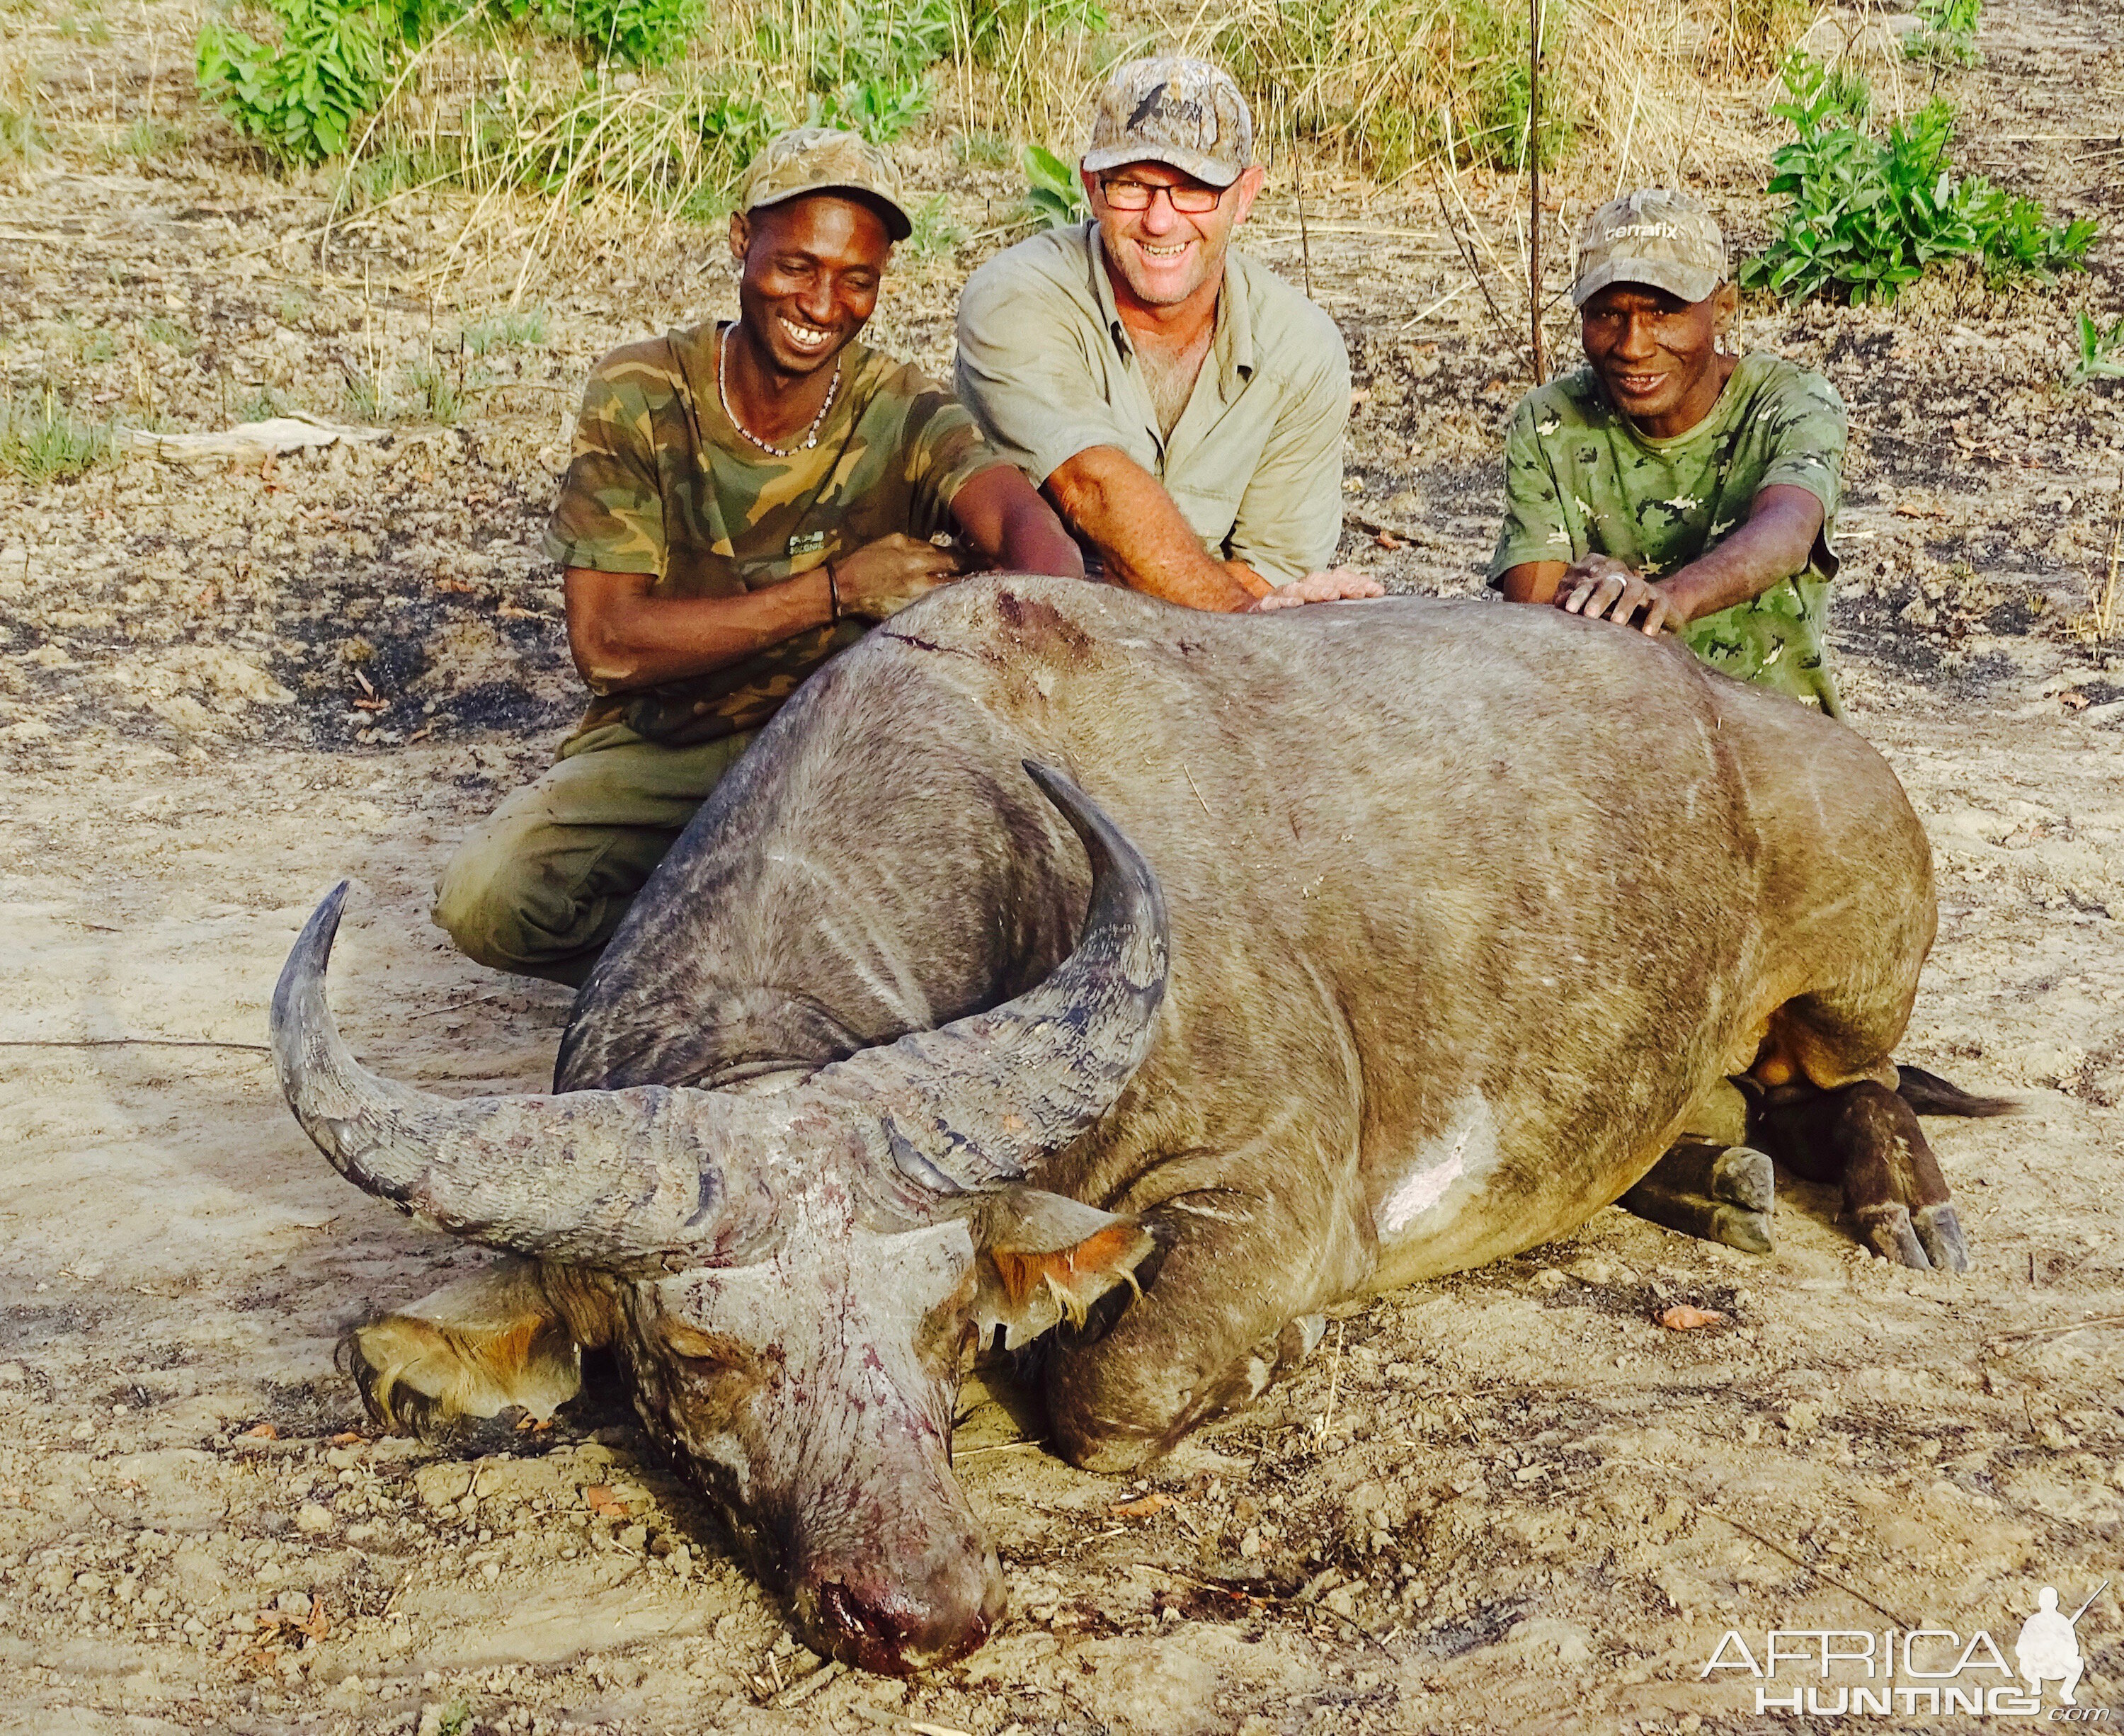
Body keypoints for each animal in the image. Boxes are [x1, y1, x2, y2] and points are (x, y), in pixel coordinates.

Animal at [278, 573, 1988, 1674]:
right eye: (696, 1353)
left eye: (947, 1316)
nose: (927, 1611)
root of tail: (1763, 725)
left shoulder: (1274, 1184)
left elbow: (1115, 1381)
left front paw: (1277, 1352)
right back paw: (1715, 1174)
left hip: (1861, 950)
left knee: (1854, 1077)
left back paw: (1902, 1205)